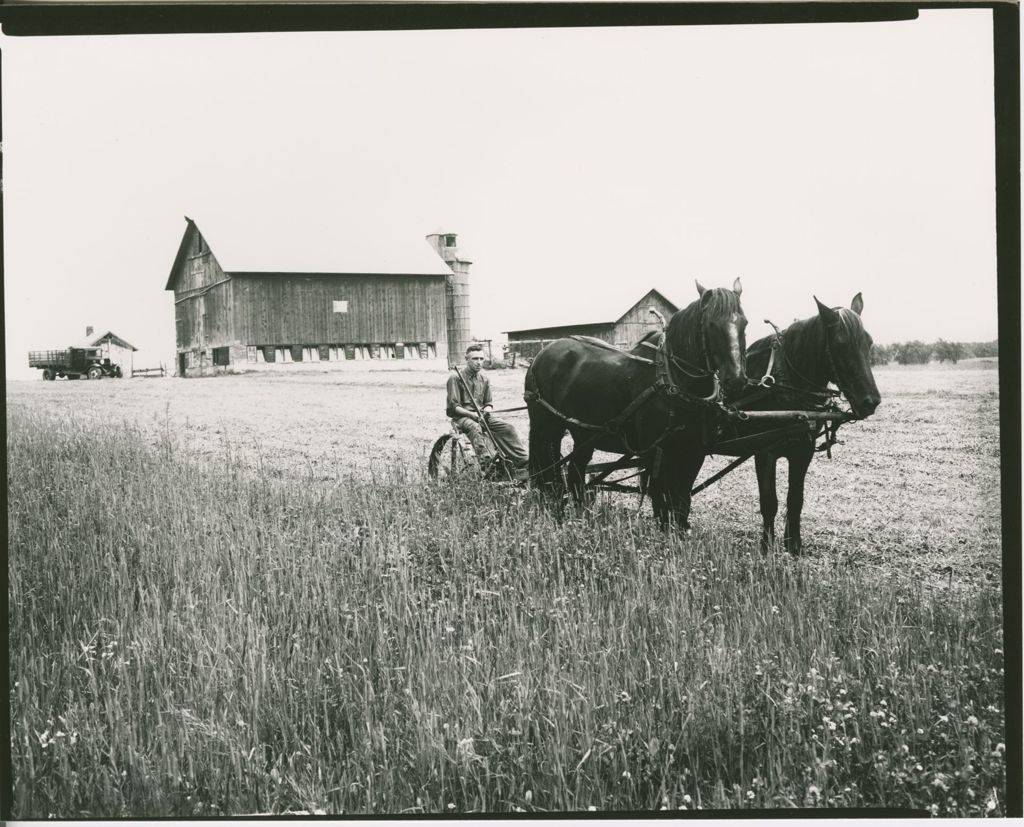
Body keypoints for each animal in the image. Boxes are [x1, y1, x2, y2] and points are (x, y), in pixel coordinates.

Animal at [524, 280, 749, 528]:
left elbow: (682, 498)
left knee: (574, 471)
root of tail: (541, 354)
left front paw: (680, 530)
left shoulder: (693, 449)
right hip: (546, 427)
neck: (672, 379)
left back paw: (583, 515)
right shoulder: (655, 451)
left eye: (744, 323)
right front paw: (665, 530)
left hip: (583, 433)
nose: (736, 380)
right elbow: (661, 496)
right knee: (548, 471)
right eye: (711, 324)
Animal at [737, 292, 880, 556]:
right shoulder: (764, 451)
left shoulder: (803, 451)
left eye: (869, 342)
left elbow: (795, 499)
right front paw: (766, 547)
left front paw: (794, 546)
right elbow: (769, 501)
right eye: (840, 343)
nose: (871, 401)